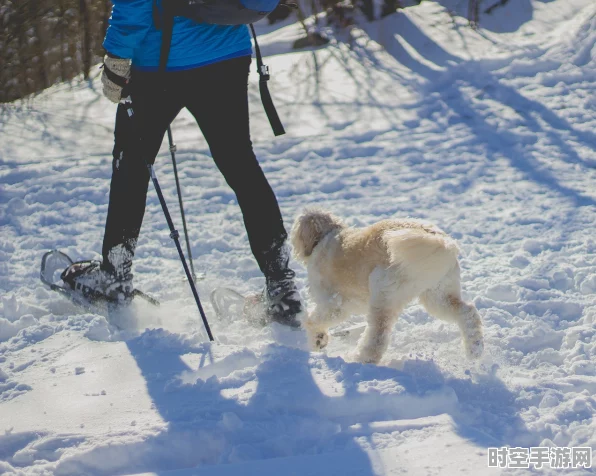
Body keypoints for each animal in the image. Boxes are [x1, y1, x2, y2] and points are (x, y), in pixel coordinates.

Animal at [292, 208, 484, 364]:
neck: (325, 237)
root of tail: (440, 241)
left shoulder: (334, 304)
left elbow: (313, 320)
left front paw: (316, 337)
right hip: (438, 295)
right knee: (467, 313)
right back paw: (475, 350)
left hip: (383, 294)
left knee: (378, 337)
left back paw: (360, 359)